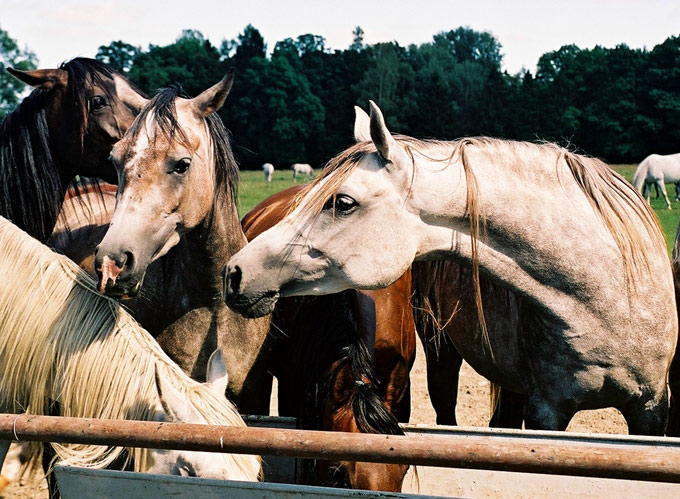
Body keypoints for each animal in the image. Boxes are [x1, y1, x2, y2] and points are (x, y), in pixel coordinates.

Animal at [226, 102, 676, 438]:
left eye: (343, 202)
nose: (235, 272)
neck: (608, 294)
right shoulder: (548, 409)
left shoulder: (651, 407)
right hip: (443, 356)